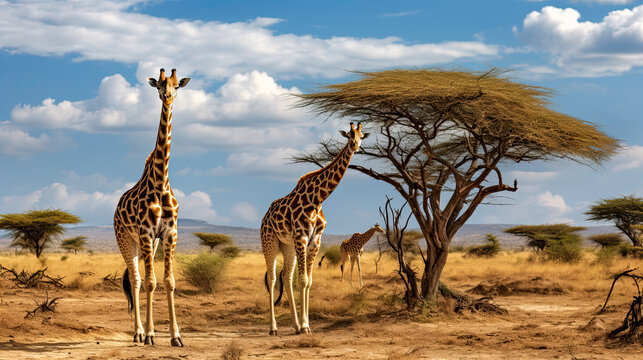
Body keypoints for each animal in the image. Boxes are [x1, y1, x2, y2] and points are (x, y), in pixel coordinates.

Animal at [114, 69, 190, 348]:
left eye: (177, 85)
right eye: (158, 85)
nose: (167, 97)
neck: (160, 183)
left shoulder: (168, 234)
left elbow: (168, 281)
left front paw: (176, 336)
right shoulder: (146, 233)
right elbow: (149, 282)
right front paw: (148, 335)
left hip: (150, 244)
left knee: (143, 278)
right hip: (126, 239)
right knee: (136, 280)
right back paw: (139, 333)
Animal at [262, 123, 372, 334]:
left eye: (362, 135)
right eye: (349, 135)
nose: (355, 146)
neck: (318, 198)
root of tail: (265, 216)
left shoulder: (315, 241)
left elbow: (308, 281)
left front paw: (306, 325)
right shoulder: (301, 238)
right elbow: (303, 280)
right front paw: (305, 325)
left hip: (287, 246)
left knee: (286, 276)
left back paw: (295, 325)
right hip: (269, 241)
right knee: (272, 278)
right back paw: (273, 328)